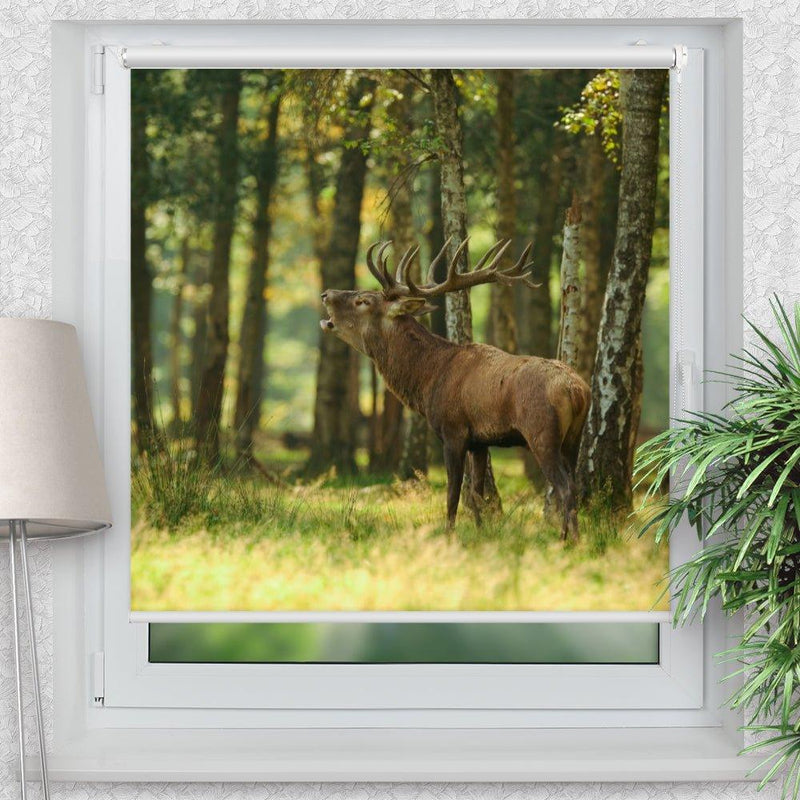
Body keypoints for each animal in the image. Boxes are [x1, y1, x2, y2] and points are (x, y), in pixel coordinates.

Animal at [319, 238, 590, 541]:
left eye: (363, 301)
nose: (326, 293)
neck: (428, 380)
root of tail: (577, 391)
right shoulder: (480, 441)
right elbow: (476, 495)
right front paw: (482, 532)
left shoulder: (453, 431)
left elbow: (453, 494)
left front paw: (449, 535)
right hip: (573, 438)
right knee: (574, 483)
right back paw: (572, 537)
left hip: (542, 432)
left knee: (565, 486)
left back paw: (568, 539)